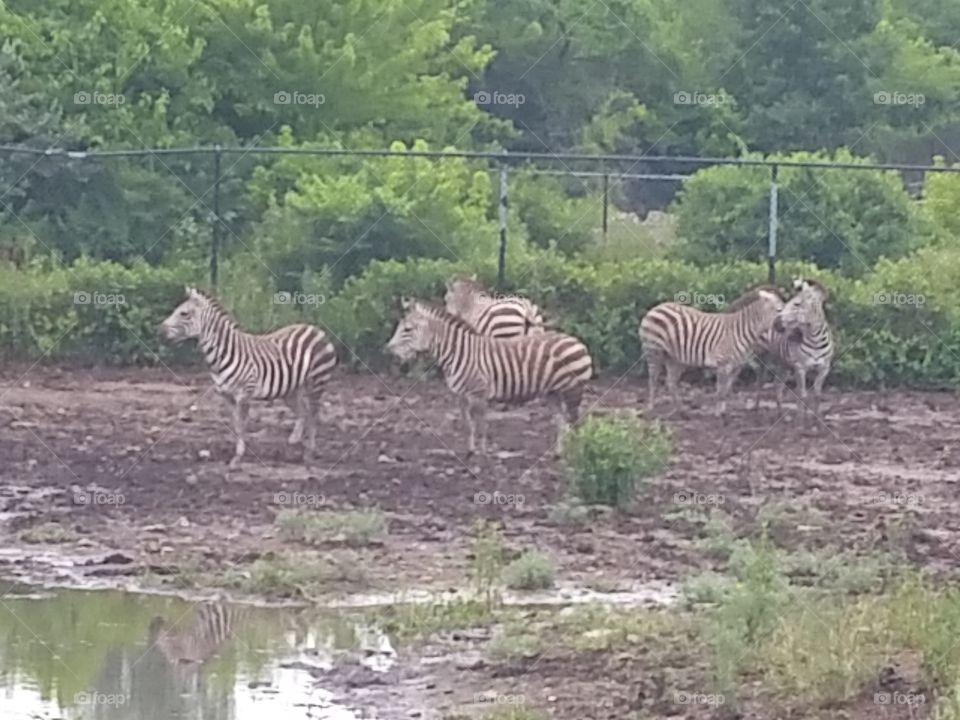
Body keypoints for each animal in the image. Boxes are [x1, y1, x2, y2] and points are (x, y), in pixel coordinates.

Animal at [159, 286, 338, 467]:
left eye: (184, 313)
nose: (160, 332)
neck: (224, 354)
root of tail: (315, 329)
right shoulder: (227, 396)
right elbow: (234, 425)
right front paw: (236, 453)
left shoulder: (243, 395)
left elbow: (241, 426)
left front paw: (238, 457)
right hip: (290, 389)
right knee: (304, 413)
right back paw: (294, 443)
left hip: (317, 382)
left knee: (313, 415)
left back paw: (309, 453)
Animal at [386, 298, 593, 456]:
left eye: (407, 329)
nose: (388, 351)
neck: (459, 353)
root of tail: (577, 341)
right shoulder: (460, 395)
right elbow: (468, 425)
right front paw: (469, 452)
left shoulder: (479, 392)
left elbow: (481, 425)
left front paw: (483, 454)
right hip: (553, 392)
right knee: (560, 421)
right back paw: (558, 454)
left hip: (573, 389)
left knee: (575, 423)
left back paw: (576, 455)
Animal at [639, 286, 785, 414]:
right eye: (779, 310)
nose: (785, 329)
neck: (741, 331)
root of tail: (656, 307)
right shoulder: (722, 363)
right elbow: (720, 391)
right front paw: (718, 415)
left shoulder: (736, 366)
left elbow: (725, 390)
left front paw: (723, 413)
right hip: (653, 350)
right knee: (653, 380)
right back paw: (651, 408)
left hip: (674, 358)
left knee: (670, 382)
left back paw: (681, 410)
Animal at [755, 278, 834, 416]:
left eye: (797, 304)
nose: (776, 324)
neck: (816, 341)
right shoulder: (800, 368)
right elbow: (802, 396)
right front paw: (801, 420)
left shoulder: (823, 369)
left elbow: (817, 395)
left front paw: (816, 419)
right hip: (764, 357)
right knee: (760, 383)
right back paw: (756, 410)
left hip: (784, 364)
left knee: (777, 385)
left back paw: (780, 413)